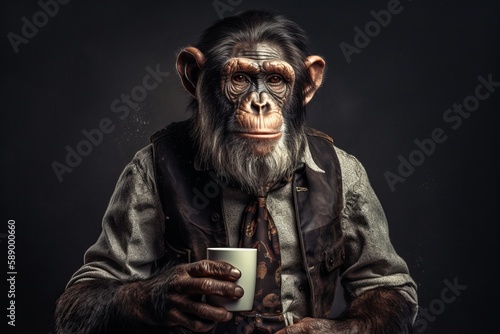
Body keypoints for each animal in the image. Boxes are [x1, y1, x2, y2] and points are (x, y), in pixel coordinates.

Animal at [53, 9, 418, 332]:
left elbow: (381, 281)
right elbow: (95, 280)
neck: (257, 185)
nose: (259, 104)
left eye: (275, 80)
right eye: (240, 79)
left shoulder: (356, 177)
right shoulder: (137, 173)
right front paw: (174, 294)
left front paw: (316, 329)